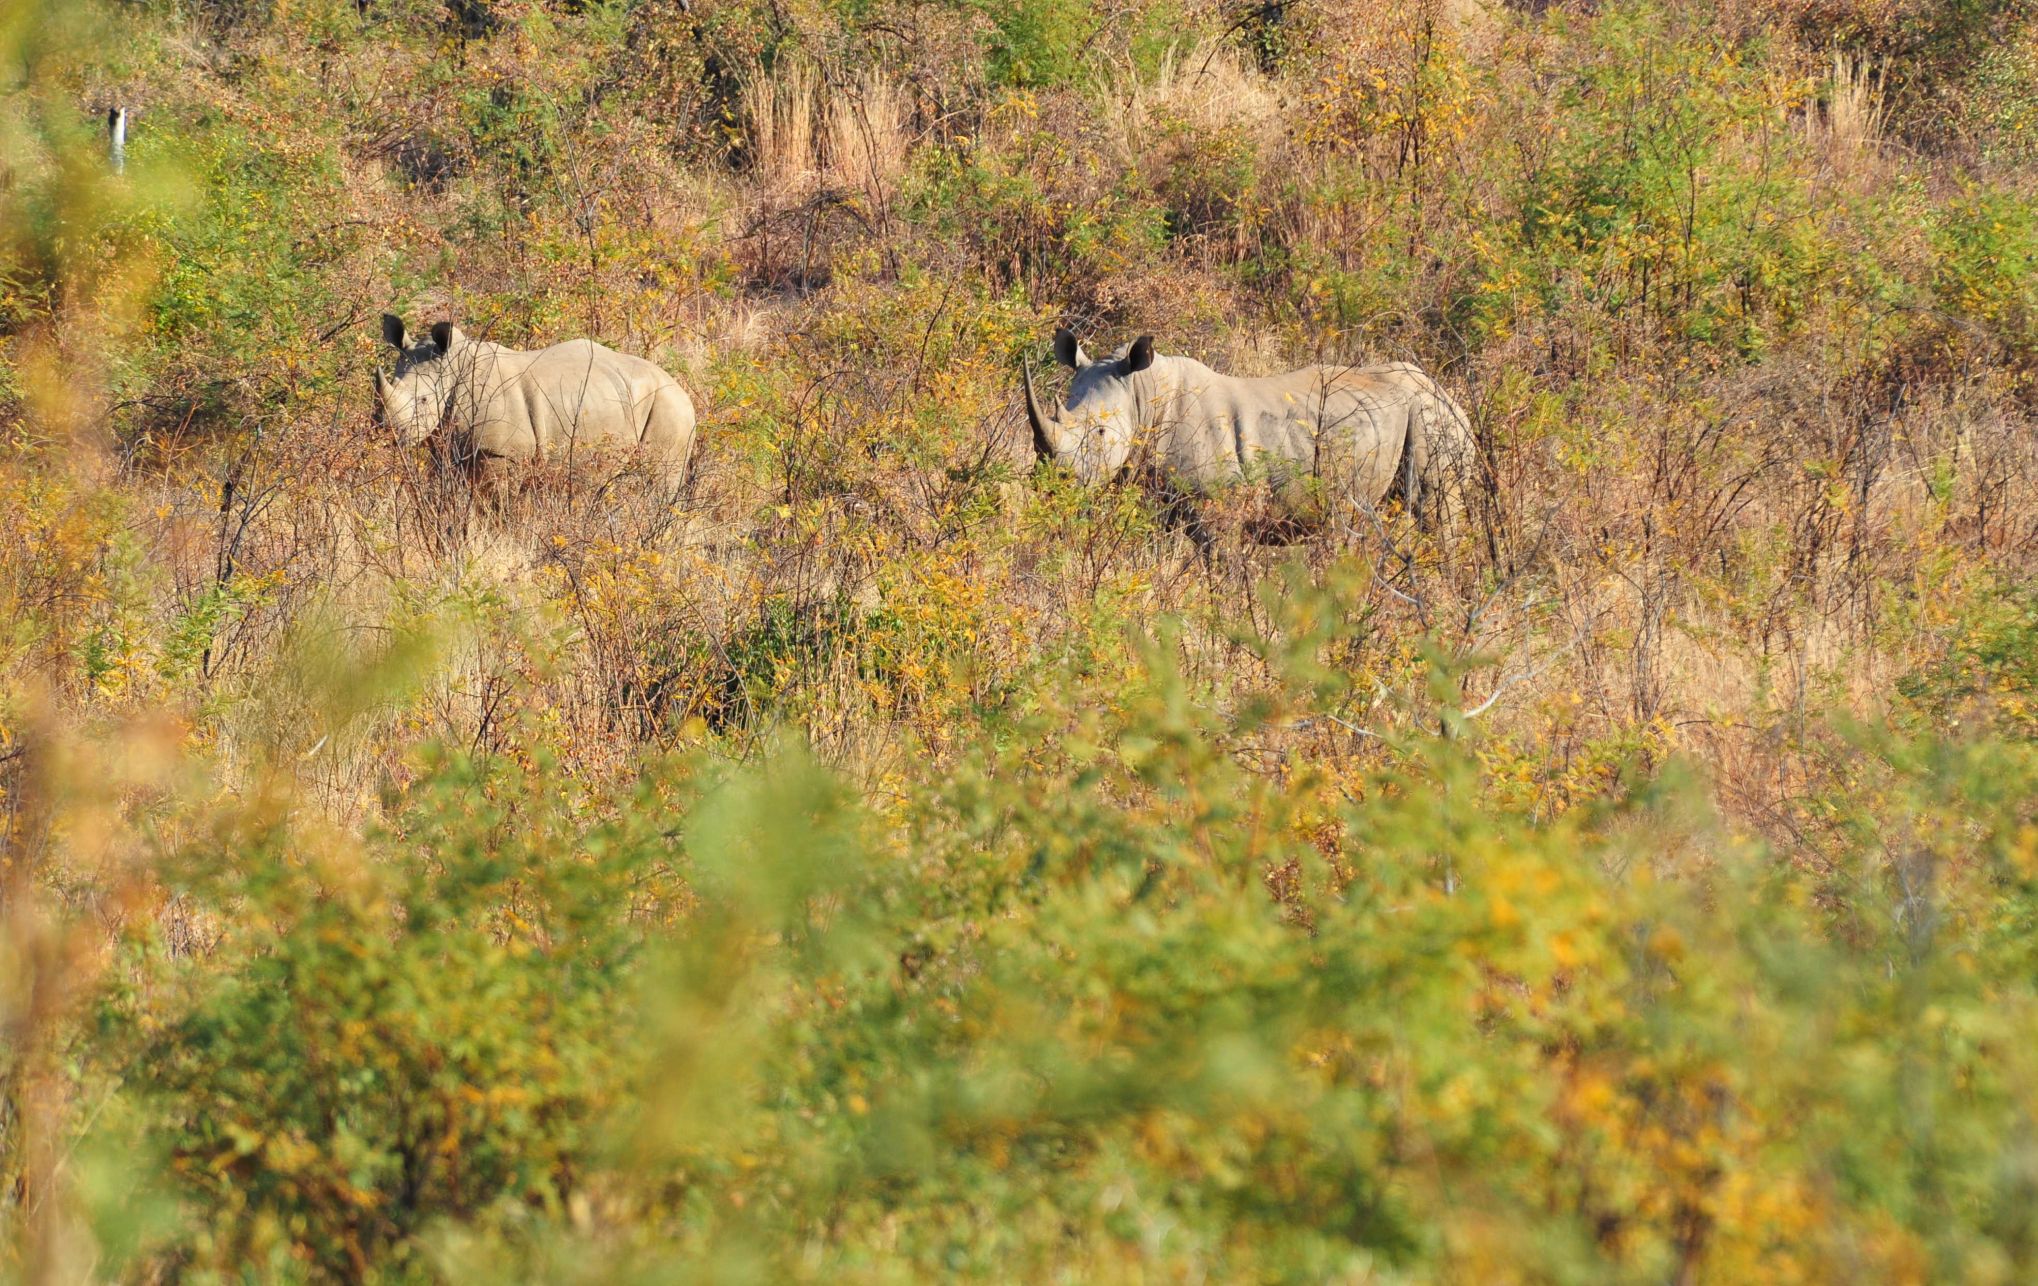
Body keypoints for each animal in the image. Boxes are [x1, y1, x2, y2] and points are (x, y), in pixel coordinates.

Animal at [373, 314, 697, 499]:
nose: (385, 431)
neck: (454, 368)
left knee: (657, 484)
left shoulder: (502, 453)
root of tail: (683, 389)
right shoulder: (447, 448)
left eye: (424, 400)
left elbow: (494, 506)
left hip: (670, 408)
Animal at [1024, 329, 1474, 540]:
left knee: (1436, 515)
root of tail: (1446, 392)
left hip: (1432, 418)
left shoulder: (1220, 509)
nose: (1052, 487)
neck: (1142, 393)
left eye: (1100, 433)